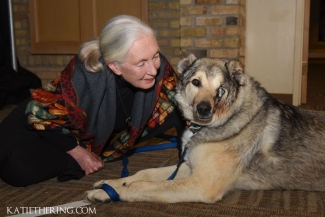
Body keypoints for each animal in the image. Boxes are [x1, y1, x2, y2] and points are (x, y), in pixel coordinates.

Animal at [82, 54, 324, 203]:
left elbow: (143, 186)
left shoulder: (202, 184)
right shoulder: (190, 166)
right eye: (196, 82)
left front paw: (112, 193)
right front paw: (108, 184)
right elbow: (145, 173)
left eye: (220, 89)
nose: (204, 109)